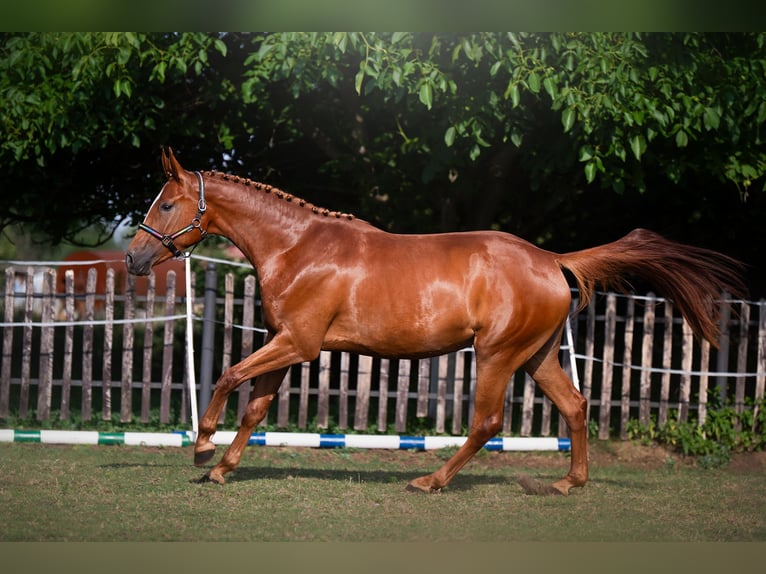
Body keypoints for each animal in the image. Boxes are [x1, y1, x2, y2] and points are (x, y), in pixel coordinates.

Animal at [125, 148, 746, 495]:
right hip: (538, 357)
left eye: (165, 204)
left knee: (487, 423)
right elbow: (255, 407)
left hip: (497, 355)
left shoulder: (298, 344)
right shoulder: (286, 343)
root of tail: (550, 260)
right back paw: (568, 482)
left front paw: (202, 448)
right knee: (574, 406)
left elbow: (229, 376)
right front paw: (222, 468)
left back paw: (430, 480)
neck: (297, 248)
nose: (132, 258)